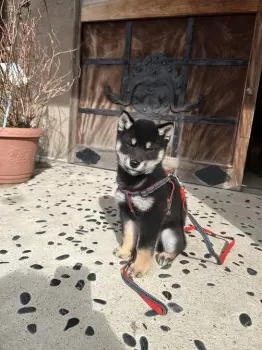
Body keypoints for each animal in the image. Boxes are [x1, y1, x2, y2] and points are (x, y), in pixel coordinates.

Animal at [114, 110, 186, 278]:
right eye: (130, 144)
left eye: (150, 149)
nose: (134, 162)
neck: (134, 184)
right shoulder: (127, 213)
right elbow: (128, 235)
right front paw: (125, 251)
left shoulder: (152, 217)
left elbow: (145, 247)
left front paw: (139, 267)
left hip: (169, 232)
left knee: (179, 247)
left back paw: (166, 255)